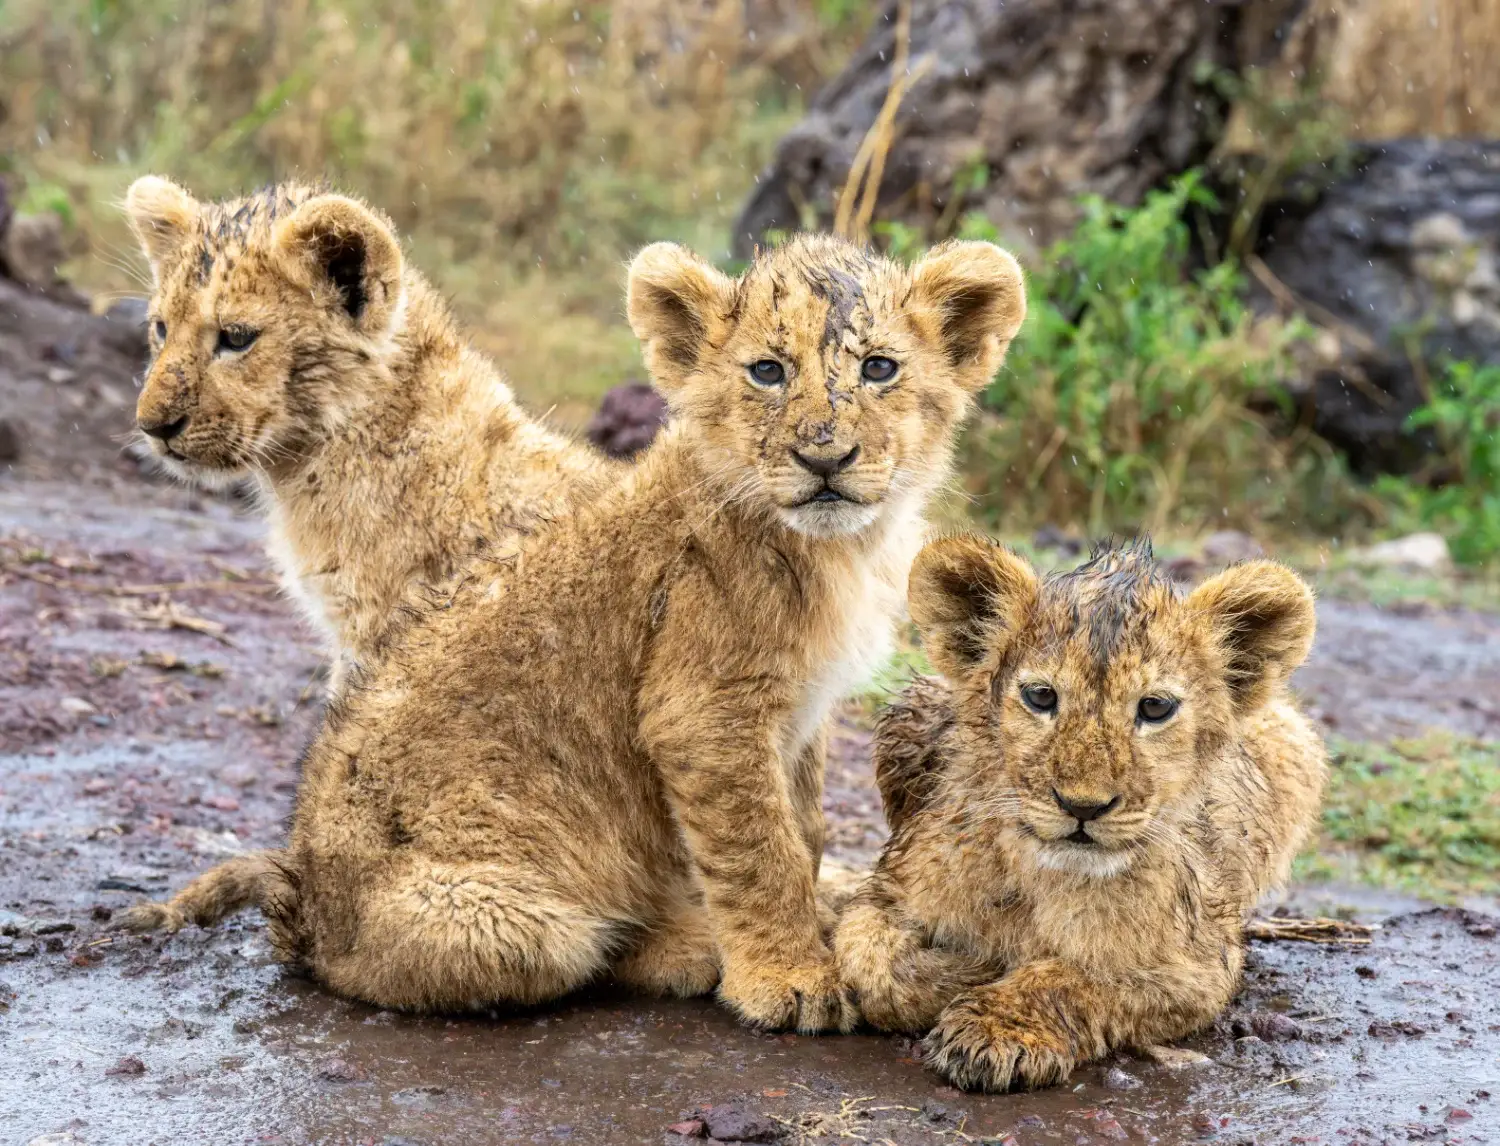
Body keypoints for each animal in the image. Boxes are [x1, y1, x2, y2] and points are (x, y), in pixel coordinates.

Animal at [119, 233, 1028, 1032]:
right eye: (767, 372)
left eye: (880, 368)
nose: (825, 457)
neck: (840, 547)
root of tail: (302, 898)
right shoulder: (704, 709)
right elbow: (758, 852)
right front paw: (791, 979)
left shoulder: (801, 715)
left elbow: (801, 833)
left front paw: (812, 922)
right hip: (510, 920)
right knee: (580, 950)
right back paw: (693, 947)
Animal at [834, 536, 1326, 1088]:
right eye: (1041, 696)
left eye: (1155, 707)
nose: (1082, 806)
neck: (1045, 878)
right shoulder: (891, 892)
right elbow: (870, 961)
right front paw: (969, 970)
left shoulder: (1198, 967)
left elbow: (1079, 978)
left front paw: (999, 1025)